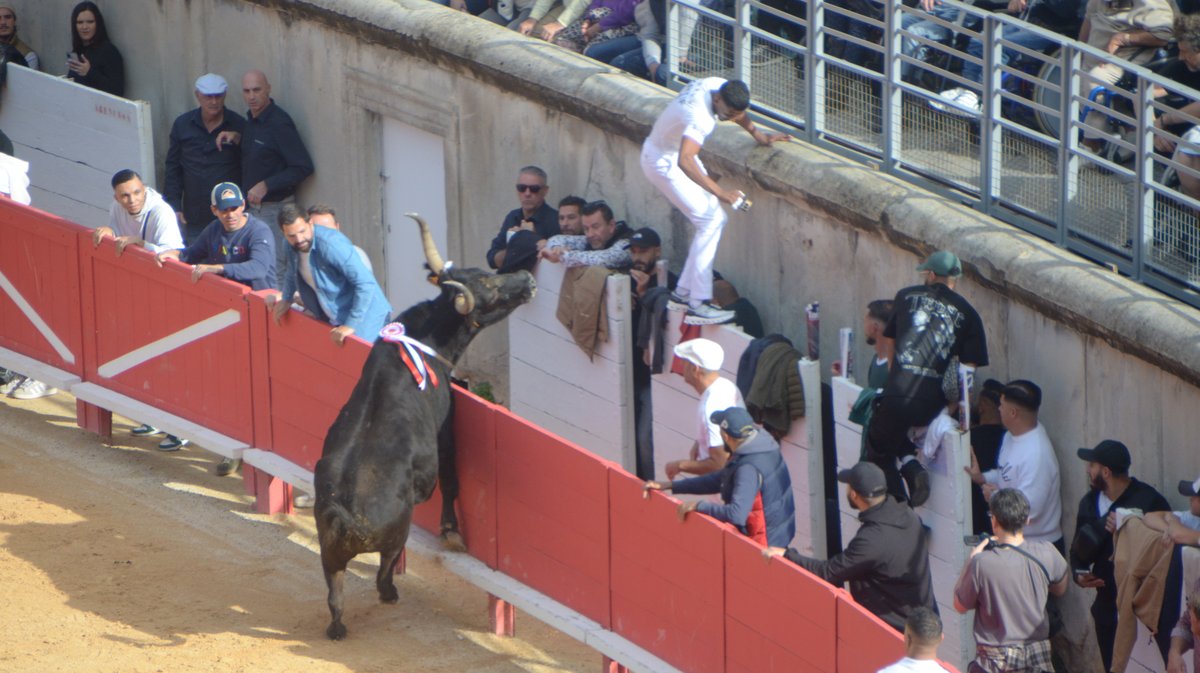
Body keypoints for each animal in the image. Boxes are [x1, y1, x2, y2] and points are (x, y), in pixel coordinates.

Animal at [314, 214, 535, 638]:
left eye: (484, 271)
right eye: (489, 288)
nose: (528, 278)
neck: (424, 341)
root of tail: (343, 515)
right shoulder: (444, 431)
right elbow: (450, 480)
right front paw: (452, 533)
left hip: (328, 556)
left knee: (334, 594)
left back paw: (337, 627)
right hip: (396, 530)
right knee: (385, 567)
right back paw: (390, 593)